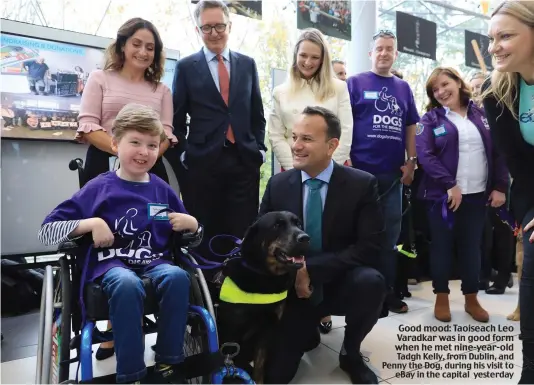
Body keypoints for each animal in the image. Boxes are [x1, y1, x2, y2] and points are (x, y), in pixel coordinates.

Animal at [217, 212, 310, 382]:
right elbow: (227, 364)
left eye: (299, 224)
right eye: (277, 225)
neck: (265, 276)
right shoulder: (231, 332)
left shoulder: (267, 329)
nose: (305, 238)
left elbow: (260, 365)